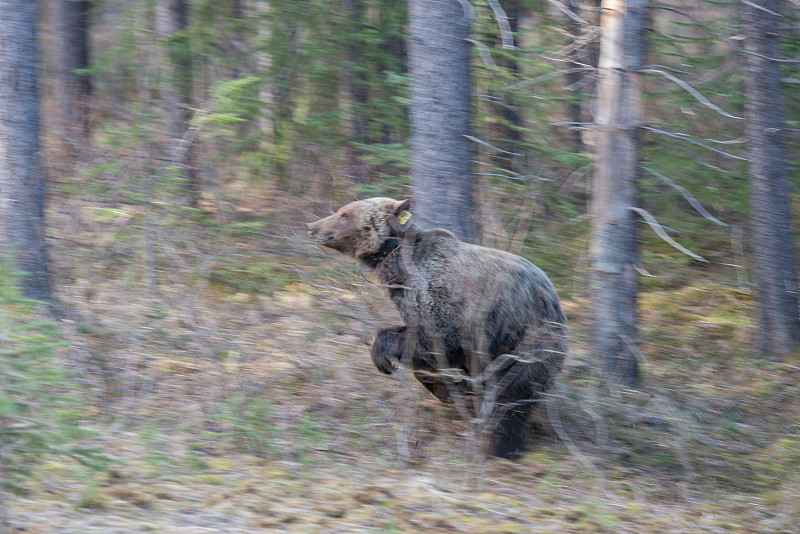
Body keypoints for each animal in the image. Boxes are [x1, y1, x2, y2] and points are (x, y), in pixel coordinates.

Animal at [304, 199, 564, 458]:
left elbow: (438, 338)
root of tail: (558, 306)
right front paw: (446, 387)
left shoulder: (443, 297)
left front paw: (382, 357)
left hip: (526, 343)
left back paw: (500, 446)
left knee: (510, 398)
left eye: (345, 214)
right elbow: (427, 358)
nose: (312, 226)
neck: (400, 266)